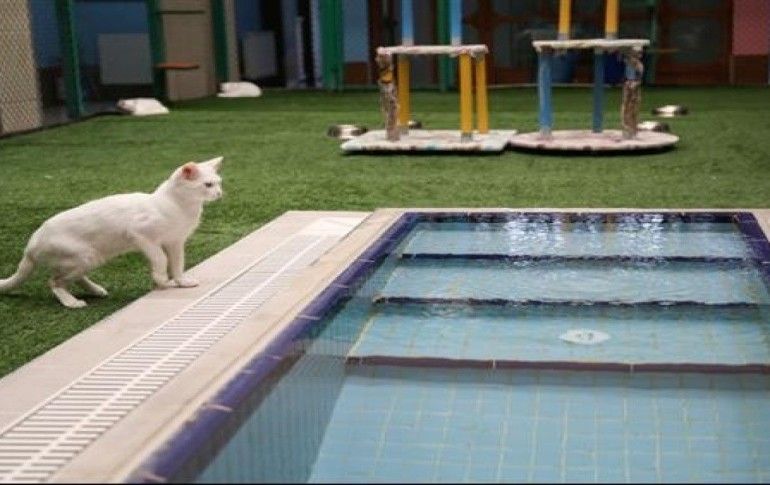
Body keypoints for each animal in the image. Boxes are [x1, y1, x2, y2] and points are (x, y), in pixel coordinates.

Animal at [0, 156, 224, 308]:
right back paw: (72, 302)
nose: (220, 193)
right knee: (54, 281)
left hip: (89, 259)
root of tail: (32, 243)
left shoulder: (175, 243)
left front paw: (182, 282)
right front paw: (161, 280)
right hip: (84, 256)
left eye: (219, 183)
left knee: (71, 277)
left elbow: (177, 265)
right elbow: (161, 260)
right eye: (208, 185)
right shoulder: (142, 235)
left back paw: (97, 291)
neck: (179, 206)